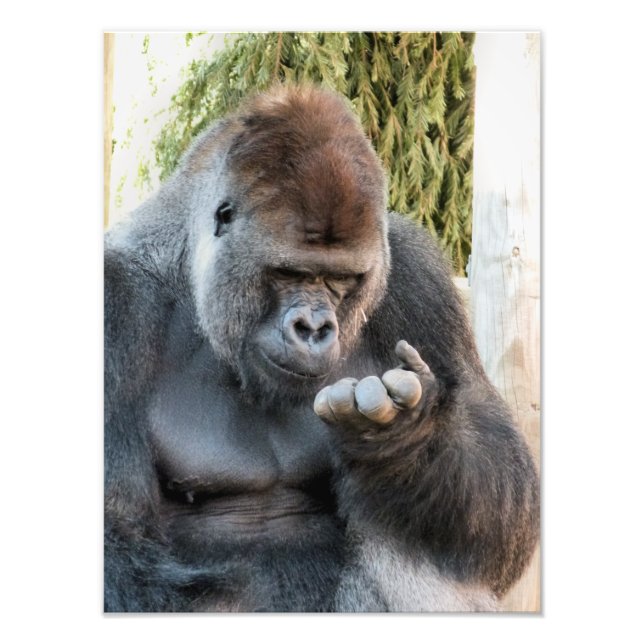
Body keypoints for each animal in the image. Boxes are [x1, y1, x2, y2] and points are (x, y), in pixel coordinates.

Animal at [104, 84, 539, 612]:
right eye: (288, 273)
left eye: (340, 280)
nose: (313, 327)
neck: (191, 271)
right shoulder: (115, 302)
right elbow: (118, 547)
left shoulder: (418, 277)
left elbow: (502, 520)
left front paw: (402, 440)